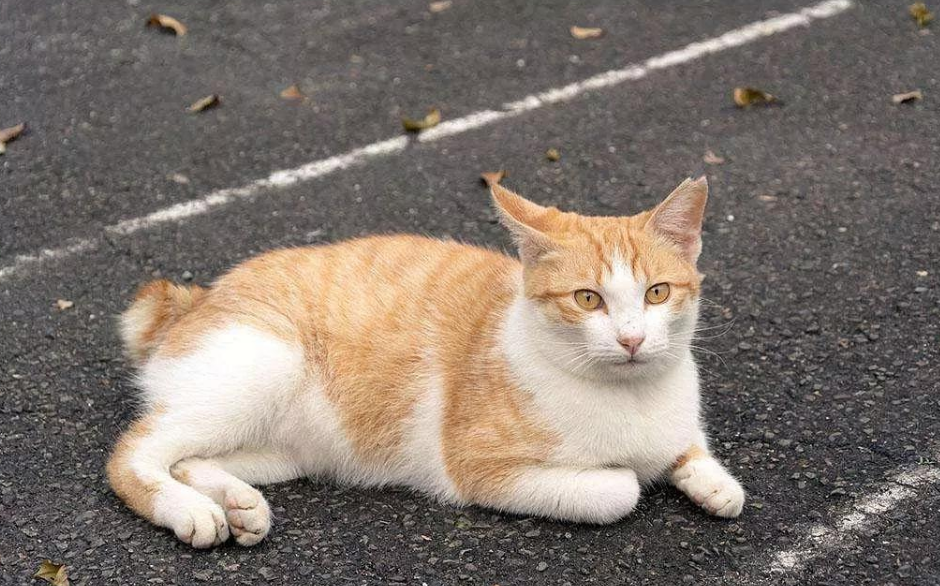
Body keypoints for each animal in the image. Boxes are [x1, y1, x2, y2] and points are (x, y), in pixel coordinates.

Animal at [108, 176, 740, 544]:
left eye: (657, 292)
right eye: (588, 299)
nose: (632, 340)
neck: (629, 396)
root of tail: (196, 299)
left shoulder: (677, 420)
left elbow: (694, 451)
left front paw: (713, 482)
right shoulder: (480, 468)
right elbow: (620, 490)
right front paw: (633, 474)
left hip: (290, 447)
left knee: (190, 458)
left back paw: (237, 504)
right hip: (263, 368)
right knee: (135, 453)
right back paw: (187, 510)